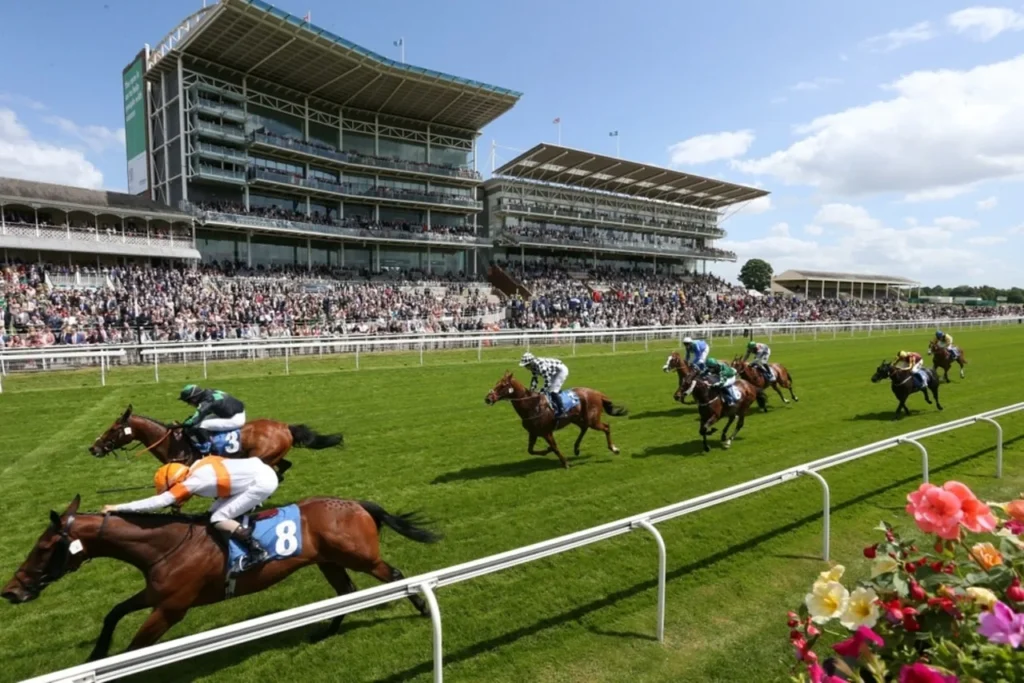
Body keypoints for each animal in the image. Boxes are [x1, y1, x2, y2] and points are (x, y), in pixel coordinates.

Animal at [0, 493, 440, 659]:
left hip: (360, 557)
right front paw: (96, 653)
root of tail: (357, 504)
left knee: (393, 574)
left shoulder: (172, 608)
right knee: (346, 592)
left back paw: (421, 607)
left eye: (43, 548)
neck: (165, 546)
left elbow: (136, 647)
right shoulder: (157, 593)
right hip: (329, 561)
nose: (11, 591)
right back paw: (324, 632)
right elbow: (113, 613)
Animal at [88, 405, 344, 481]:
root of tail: (284, 427)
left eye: (113, 429)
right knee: (284, 467)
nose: (94, 447)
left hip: (262, 456)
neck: (172, 441)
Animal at [483, 368, 626, 471]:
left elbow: (555, 447)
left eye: (503, 385)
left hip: (592, 419)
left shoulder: (547, 432)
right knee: (584, 428)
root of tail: (597, 393)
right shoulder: (533, 433)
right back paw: (576, 448)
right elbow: (531, 450)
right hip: (578, 419)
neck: (532, 405)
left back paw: (614, 449)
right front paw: (547, 451)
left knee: (606, 427)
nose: (488, 398)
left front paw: (565, 463)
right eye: (496, 384)